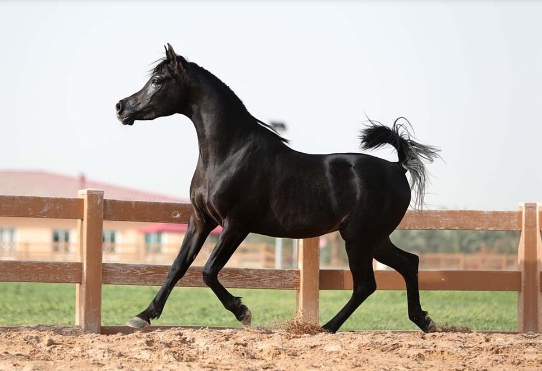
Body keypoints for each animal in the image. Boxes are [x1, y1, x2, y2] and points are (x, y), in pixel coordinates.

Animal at [116, 43, 442, 334]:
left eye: (157, 80)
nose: (121, 107)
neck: (229, 153)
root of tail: (397, 168)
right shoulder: (201, 219)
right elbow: (177, 267)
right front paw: (142, 317)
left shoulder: (236, 224)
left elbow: (208, 271)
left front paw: (243, 312)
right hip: (374, 238)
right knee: (408, 264)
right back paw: (423, 321)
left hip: (359, 238)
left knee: (366, 284)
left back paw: (327, 327)